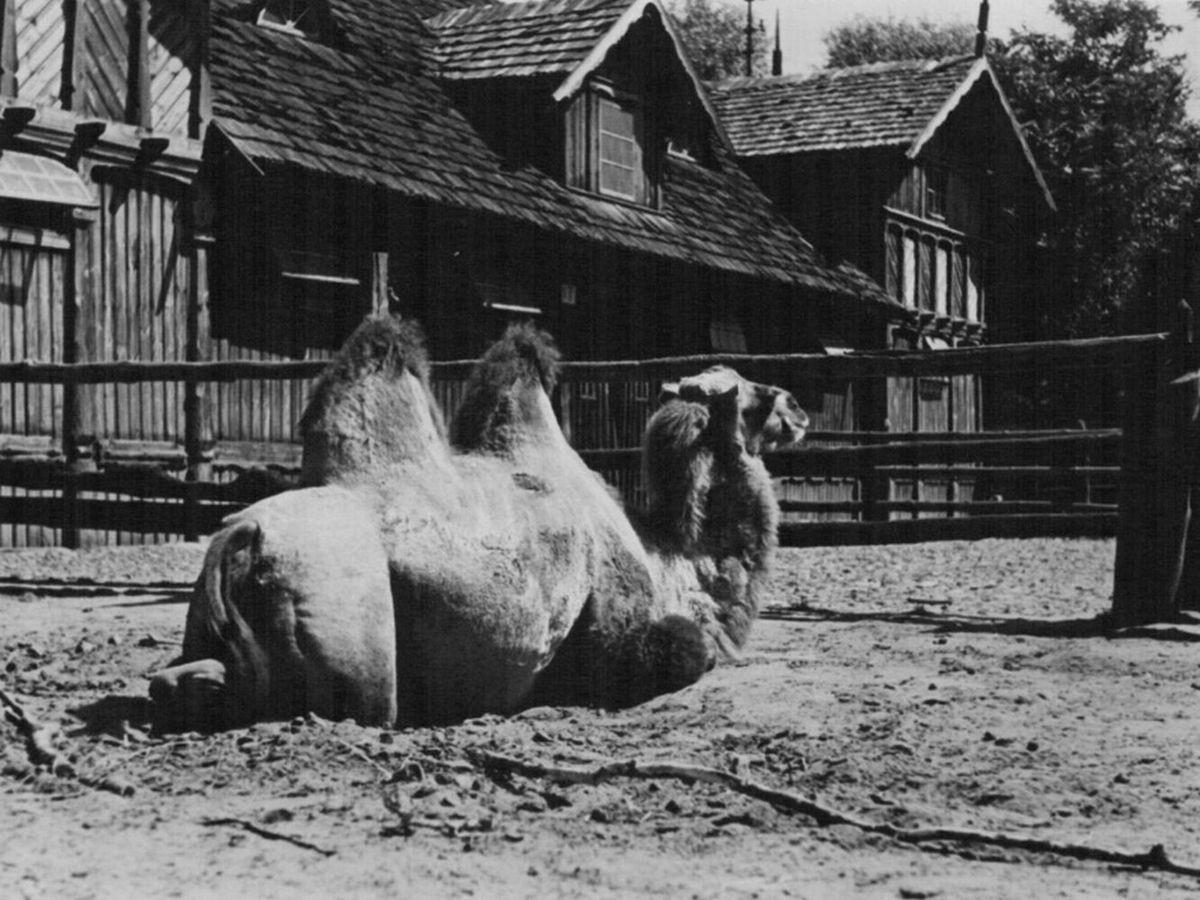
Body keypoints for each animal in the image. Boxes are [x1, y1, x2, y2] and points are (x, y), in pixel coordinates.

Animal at [150, 316, 806, 734]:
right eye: (749, 393)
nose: (798, 409)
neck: (668, 559)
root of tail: (237, 544)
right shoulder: (616, 633)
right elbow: (691, 651)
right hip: (353, 648)